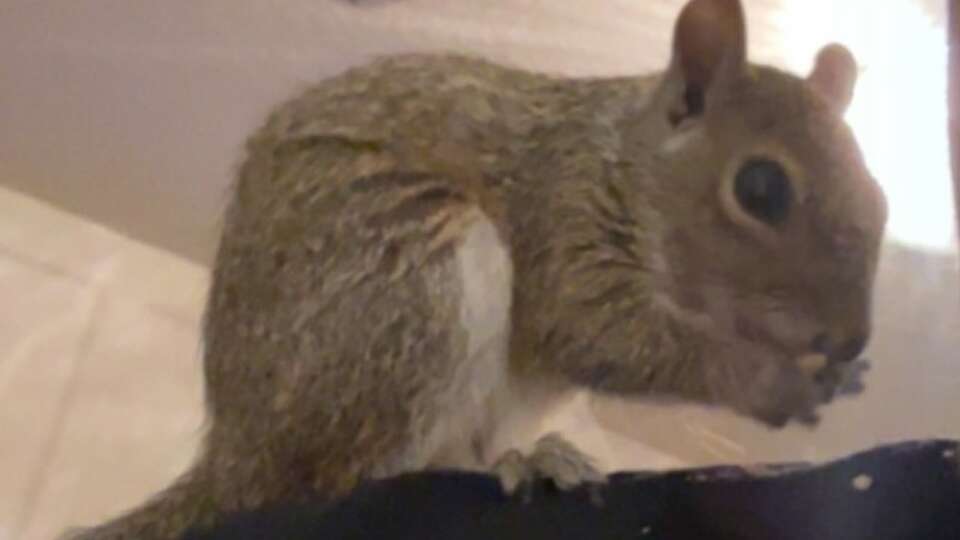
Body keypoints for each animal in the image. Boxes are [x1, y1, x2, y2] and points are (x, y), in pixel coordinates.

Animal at [65, 0, 884, 536]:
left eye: (879, 197)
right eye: (761, 189)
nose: (849, 338)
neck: (627, 163)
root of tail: (236, 459)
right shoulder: (563, 217)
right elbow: (594, 332)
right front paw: (772, 381)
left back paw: (537, 454)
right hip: (405, 288)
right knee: (346, 477)